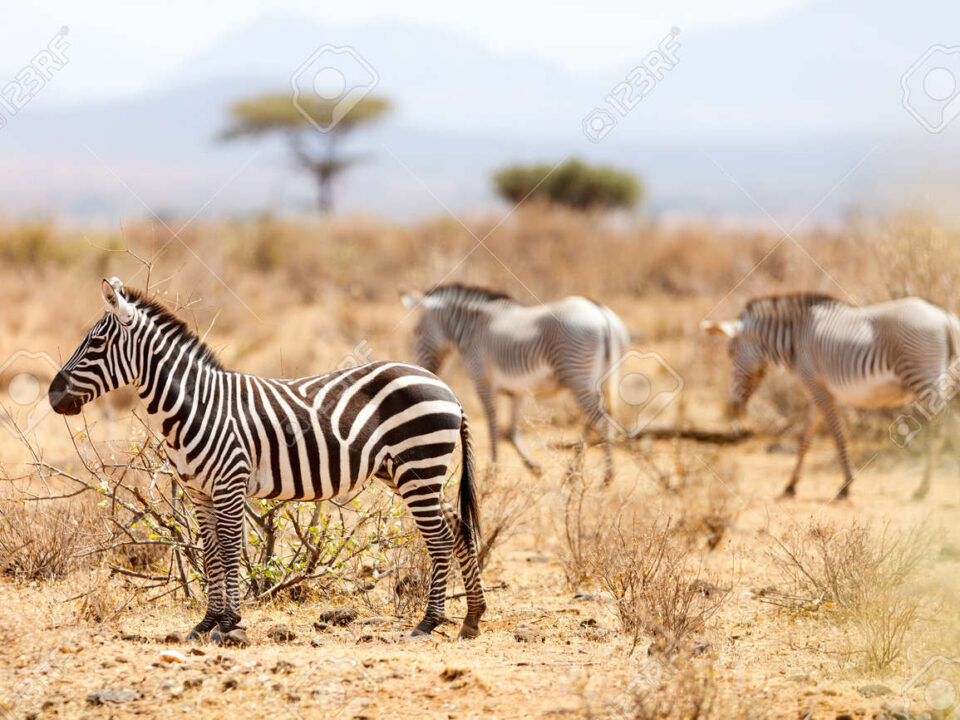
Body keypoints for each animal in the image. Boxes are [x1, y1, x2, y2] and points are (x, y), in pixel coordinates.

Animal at [47, 280, 484, 640]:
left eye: (95, 344)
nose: (52, 397)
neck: (197, 406)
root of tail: (446, 388)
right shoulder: (198, 492)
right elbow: (209, 553)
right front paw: (206, 623)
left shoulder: (229, 483)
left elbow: (228, 549)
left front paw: (228, 623)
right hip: (408, 472)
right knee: (460, 529)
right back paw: (472, 619)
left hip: (417, 468)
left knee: (440, 538)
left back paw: (428, 623)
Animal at [400, 284, 632, 480]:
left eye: (416, 331)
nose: (420, 369)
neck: (472, 328)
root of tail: (601, 313)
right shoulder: (518, 391)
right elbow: (511, 431)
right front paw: (534, 468)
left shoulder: (483, 382)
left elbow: (493, 426)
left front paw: (492, 472)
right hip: (600, 379)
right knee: (594, 420)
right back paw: (573, 472)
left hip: (578, 376)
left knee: (600, 421)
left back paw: (606, 476)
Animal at [696, 292, 960, 500]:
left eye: (730, 352)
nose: (734, 408)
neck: (796, 338)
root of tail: (945, 317)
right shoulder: (816, 391)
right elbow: (806, 438)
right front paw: (790, 485)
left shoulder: (818, 387)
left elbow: (836, 434)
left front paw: (846, 485)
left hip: (924, 377)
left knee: (947, 427)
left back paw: (923, 489)